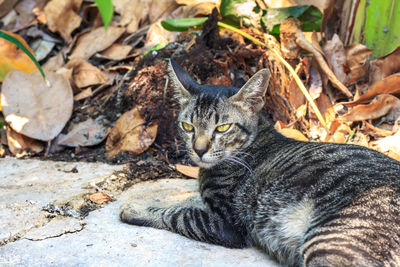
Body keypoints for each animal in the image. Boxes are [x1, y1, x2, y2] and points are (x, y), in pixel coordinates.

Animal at [120, 59, 400, 266]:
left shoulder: (226, 223)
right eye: (188, 126)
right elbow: (183, 204)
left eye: (222, 128)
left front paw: (137, 209)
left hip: (332, 241)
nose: (199, 150)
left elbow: (178, 212)